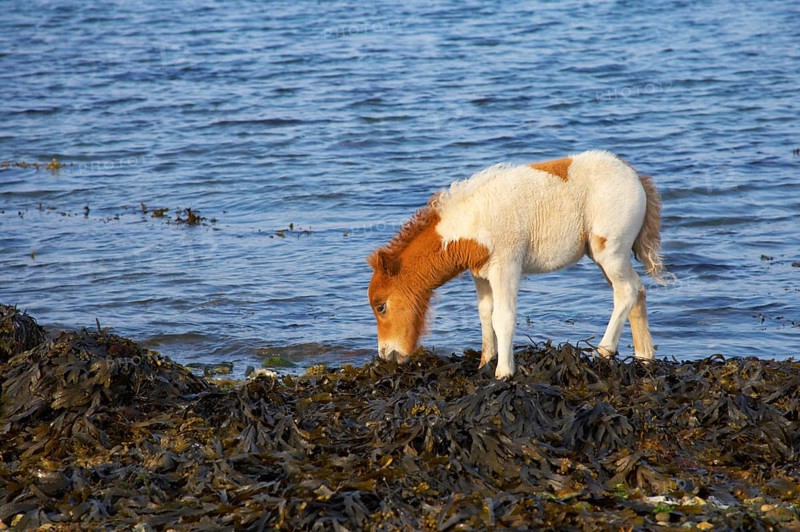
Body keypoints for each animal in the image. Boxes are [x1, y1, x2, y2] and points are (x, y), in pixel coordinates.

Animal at [367, 150, 667, 379]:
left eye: (381, 306)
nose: (386, 354)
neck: (472, 223)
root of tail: (636, 177)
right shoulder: (481, 274)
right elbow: (485, 313)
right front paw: (485, 362)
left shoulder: (506, 266)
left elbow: (503, 317)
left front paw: (503, 372)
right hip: (603, 256)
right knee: (636, 291)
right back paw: (645, 358)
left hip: (610, 252)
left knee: (626, 291)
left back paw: (605, 350)